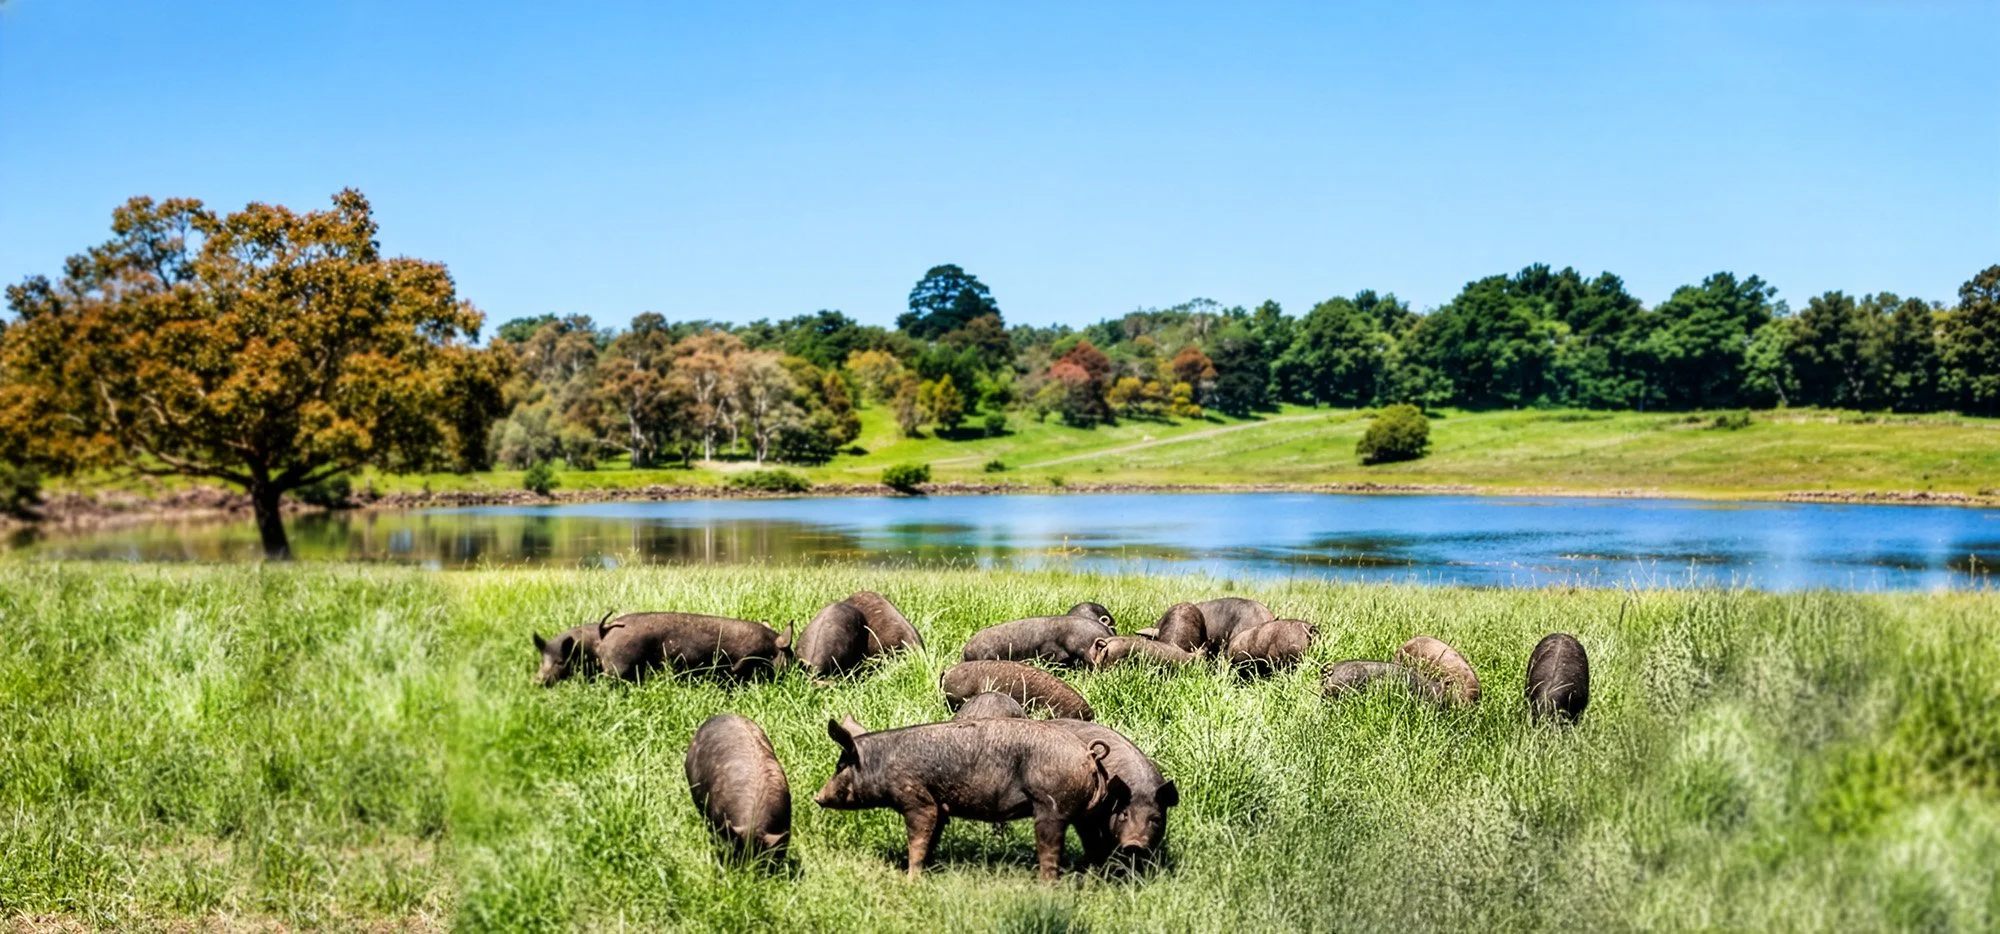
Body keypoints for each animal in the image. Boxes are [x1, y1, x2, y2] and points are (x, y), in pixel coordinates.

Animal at [811, 716, 1111, 881]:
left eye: (841, 766)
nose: (816, 796)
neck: (880, 764)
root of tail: (1088, 754)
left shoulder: (917, 799)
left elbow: (918, 840)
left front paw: (910, 880)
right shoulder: (940, 807)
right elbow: (932, 839)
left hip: (1052, 807)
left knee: (1050, 852)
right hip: (1087, 816)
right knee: (1093, 844)